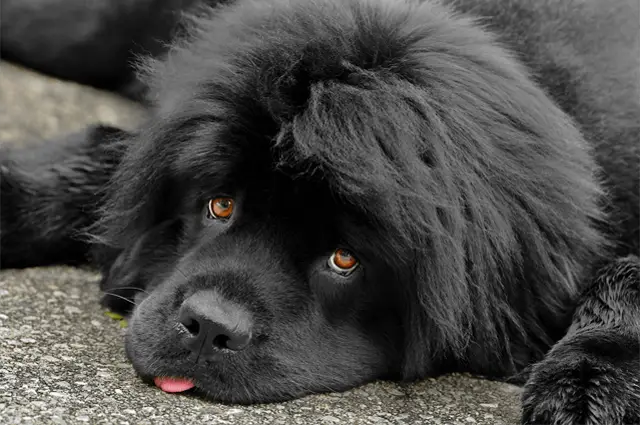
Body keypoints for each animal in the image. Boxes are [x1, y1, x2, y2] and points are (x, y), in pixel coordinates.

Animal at [1, 0, 640, 422]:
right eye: (219, 203)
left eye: (344, 259)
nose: (208, 325)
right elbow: (105, 161)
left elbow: (625, 274)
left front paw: (591, 381)